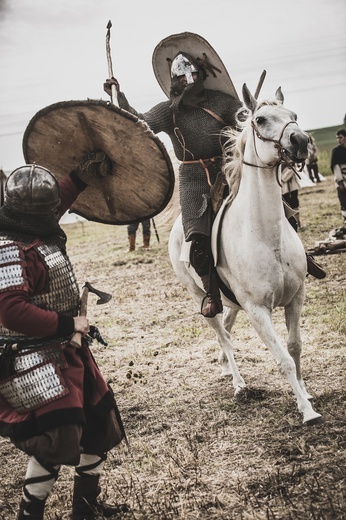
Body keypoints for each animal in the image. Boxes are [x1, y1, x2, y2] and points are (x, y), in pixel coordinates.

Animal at [169, 85, 324, 424]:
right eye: (261, 119)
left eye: (292, 115)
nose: (301, 141)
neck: (266, 235)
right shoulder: (257, 311)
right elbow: (282, 358)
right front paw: (307, 411)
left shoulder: (296, 297)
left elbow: (295, 347)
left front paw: (305, 393)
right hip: (199, 297)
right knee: (223, 335)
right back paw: (239, 384)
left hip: (231, 301)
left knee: (227, 326)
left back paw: (226, 368)